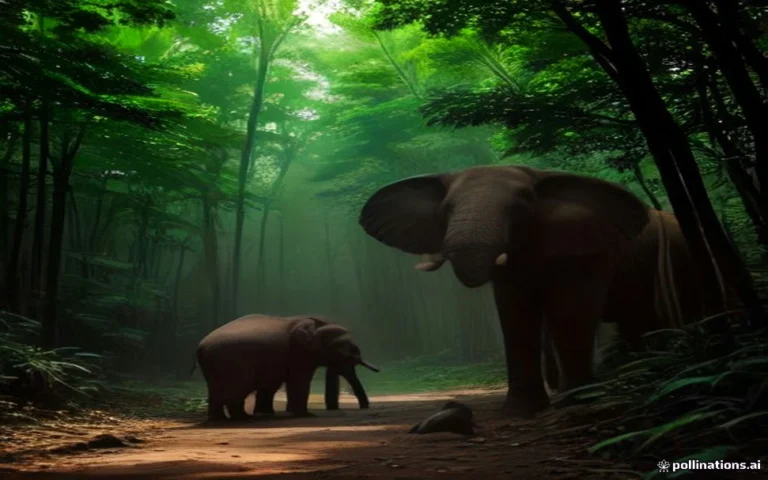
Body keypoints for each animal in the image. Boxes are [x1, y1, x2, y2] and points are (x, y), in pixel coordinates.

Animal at [194, 314, 380, 421]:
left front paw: (268, 413)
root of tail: (201, 347)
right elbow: (299, 380)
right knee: (237, 390)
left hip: (213, 366)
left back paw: (220, 420)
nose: (364, 409)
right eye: (349, 351)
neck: (317, 324)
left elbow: (273, 383)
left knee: (216, 391)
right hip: (233, 364)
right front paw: (306, 416)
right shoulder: (298, 352)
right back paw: (242, 418)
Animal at [359, 165, 727, 416]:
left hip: (687, 258)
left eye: (520, 206)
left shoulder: (588, 247)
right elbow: (515, 313)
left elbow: (571, 310)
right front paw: (521, 411)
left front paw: (575, 403)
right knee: (637, 321)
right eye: (446, 209)